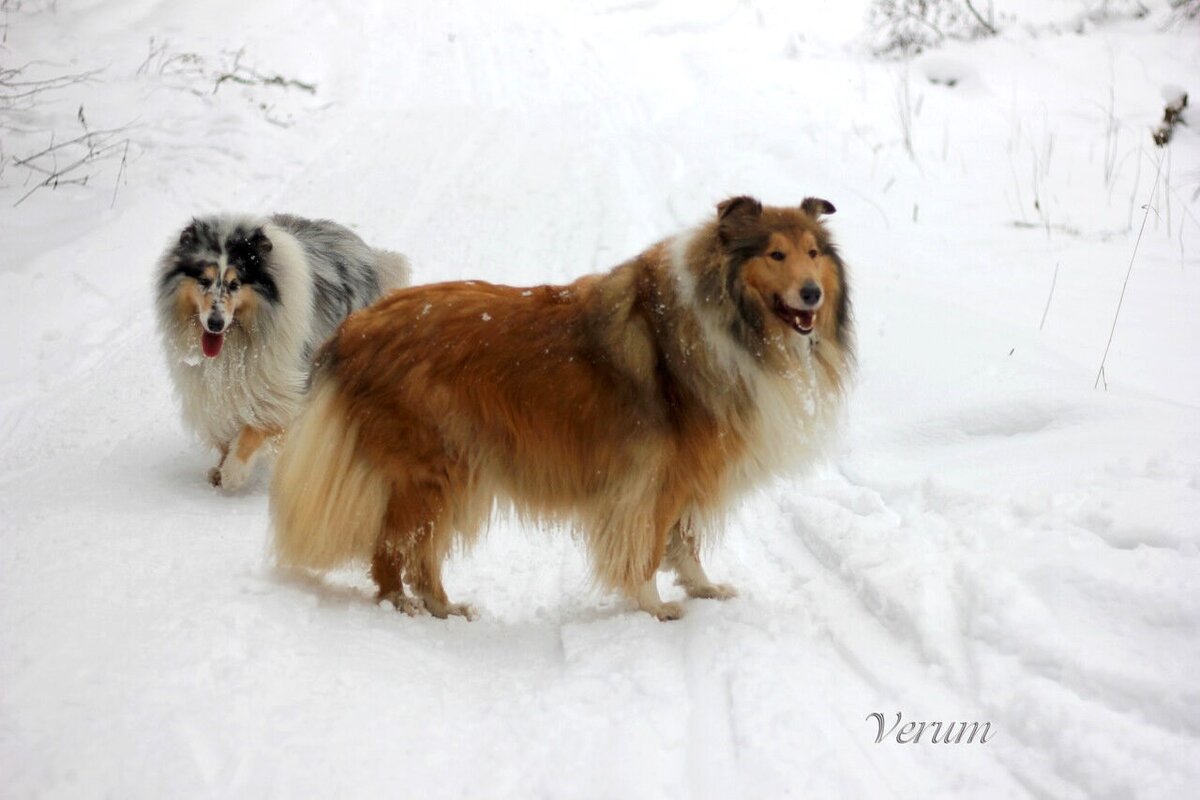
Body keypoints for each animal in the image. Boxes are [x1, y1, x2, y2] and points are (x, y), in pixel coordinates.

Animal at [157, 212, 410, 489]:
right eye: (204, 280)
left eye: (235, 284)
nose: (215, 324)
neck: (238, 341)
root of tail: (371, 255)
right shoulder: (213, 391)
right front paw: (220, 468)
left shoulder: (278, 386)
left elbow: (255, 429)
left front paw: (233, 474)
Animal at [272, 196, 854, 623]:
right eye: (774, 255)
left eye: (813, 252)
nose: (812, 295)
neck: (730, 320)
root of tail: (352, 329)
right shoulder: (657, 478)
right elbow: (650, 547)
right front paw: (656, 608)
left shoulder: (685, 475)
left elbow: (684, 543)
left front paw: (704, 590)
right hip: (431, 468)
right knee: (393, 549)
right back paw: (409, 610)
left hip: (453, 469)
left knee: (419, 551)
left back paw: (444, 607)